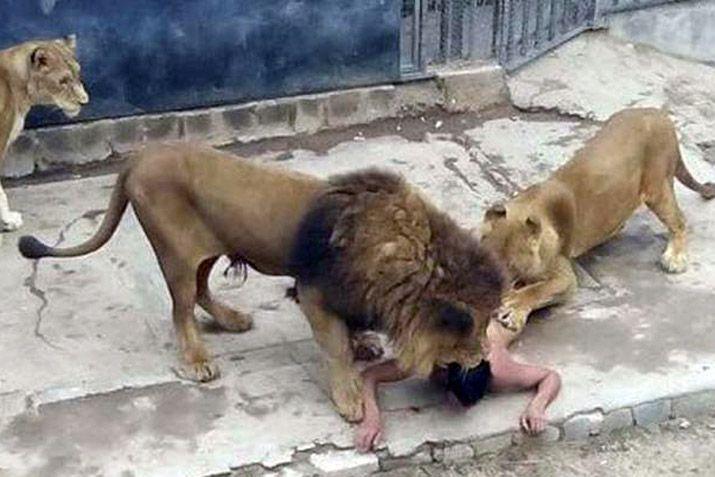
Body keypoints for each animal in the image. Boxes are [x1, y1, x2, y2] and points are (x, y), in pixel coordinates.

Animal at [18, 143, 505, 421]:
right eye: (475, 327)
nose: (484, 357)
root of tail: (138, 158)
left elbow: (351, 332)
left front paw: (365, 342)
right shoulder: (313, 293)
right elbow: (336, 350)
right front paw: (349, 398)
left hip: (207, 249)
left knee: (201, 292)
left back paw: (232, 320)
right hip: (176, 252)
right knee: (181, 308)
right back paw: (198, 360)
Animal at [479, 108, 715, 339]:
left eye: (512, 267)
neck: (527, 206)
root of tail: (661, 114)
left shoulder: (565, 277)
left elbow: (537, 290)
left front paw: (513, 308)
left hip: (657, 188)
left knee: (679, 221)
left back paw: (675, 257)